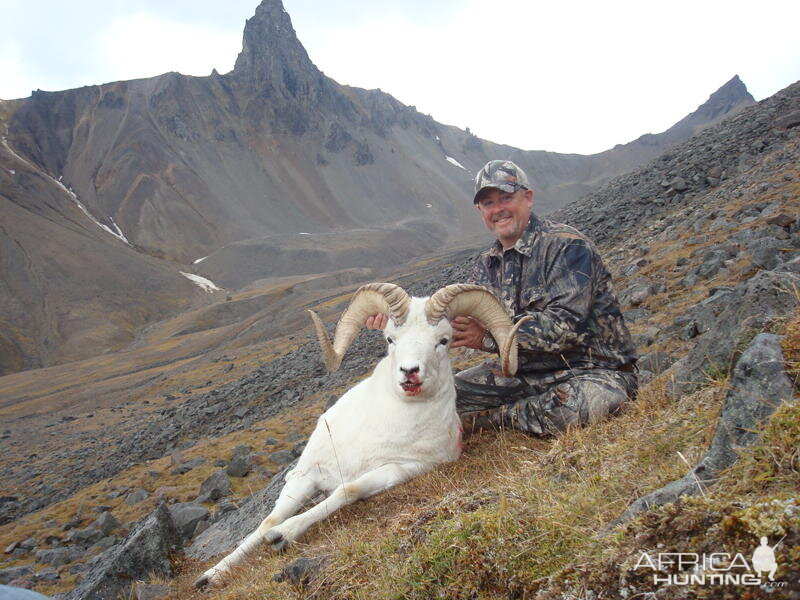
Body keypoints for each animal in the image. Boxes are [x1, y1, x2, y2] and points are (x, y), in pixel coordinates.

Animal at [197, 284, 528, 588]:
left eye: (443, 340)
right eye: (390, 338)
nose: (410, 372)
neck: (384, 427)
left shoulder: (402, 468)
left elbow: (347, 491)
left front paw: (282, 536)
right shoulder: (308, 474)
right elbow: (269, 519)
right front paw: (211, 575)